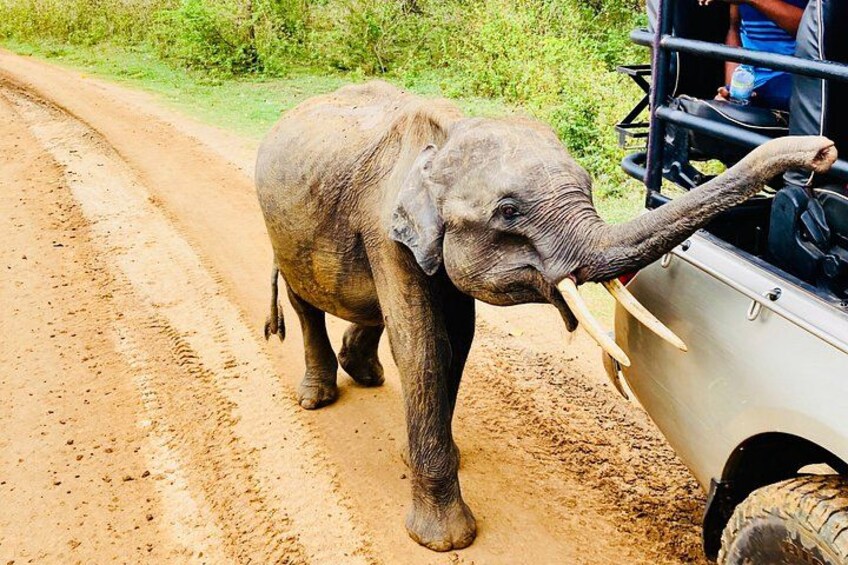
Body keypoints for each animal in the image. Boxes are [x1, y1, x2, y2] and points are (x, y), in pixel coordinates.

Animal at [255, 80, 836, 551]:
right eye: (509, 212)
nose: (824, 153)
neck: (443, 140)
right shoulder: (385, 231)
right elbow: (423, 346)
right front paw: (446, 539)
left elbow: (456, 340)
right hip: (280, 224)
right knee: (305, 304)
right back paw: (317, 398)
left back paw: (364, 373)